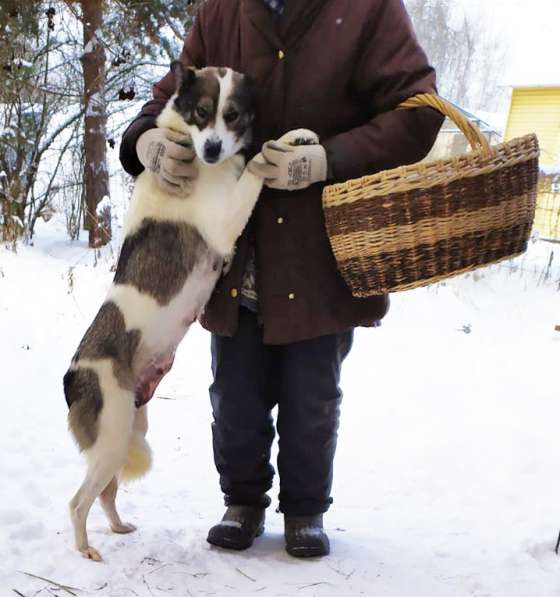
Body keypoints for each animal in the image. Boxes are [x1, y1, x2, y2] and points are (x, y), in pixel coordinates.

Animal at [63, 60, 318, 560]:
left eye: (231, 114)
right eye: (201, 112)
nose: (214, 149)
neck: (190, 146)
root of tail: (73, 376)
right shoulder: (224, 225)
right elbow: (257, 164)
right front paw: (289, 140)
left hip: (127, 433)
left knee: (105, 493)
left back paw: (118, 528)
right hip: (111, 438)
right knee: (78, 501)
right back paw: (86, 550)